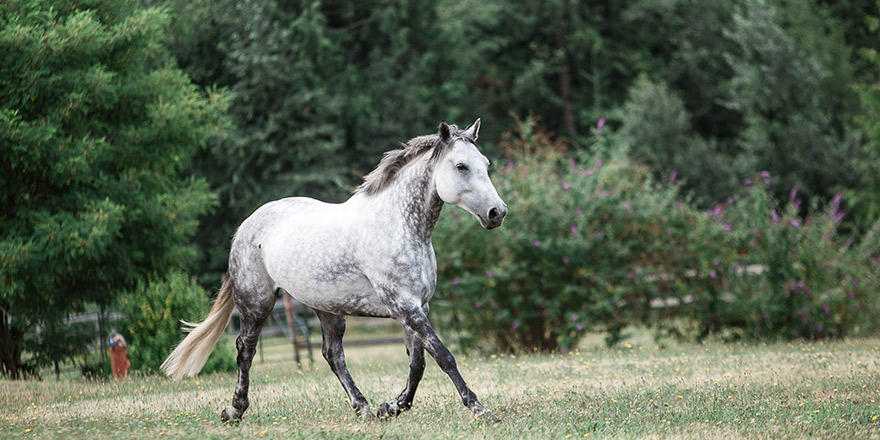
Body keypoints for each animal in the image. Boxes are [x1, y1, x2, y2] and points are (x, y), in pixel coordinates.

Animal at [160, 119, 508, 422]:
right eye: (461, 166)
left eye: (485, 163)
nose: (497, 213)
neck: (398, 226)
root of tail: (247, 225)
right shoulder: (405, 307)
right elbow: (443, 356)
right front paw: (480, 410)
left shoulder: (418, 307)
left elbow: (417, 363)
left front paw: (391, 406)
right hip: (256, 304)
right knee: (245, 351)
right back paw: (235, 410)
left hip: (327, 308)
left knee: (332, 354)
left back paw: (364, 408)